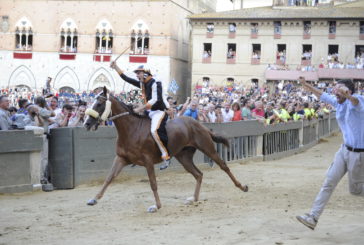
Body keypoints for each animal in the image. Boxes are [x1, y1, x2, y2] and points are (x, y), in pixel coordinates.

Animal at [83, 87, 247, 212]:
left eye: (99, 103)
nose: (86, 124)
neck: (132, 130)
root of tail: (198, 124)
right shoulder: (121, 159)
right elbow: (109, 178)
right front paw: (94, 199)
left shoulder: (148, 161)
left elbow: (153, 184)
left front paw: (156, 206)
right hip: (184, 157)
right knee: (198, 174)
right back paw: (193, 199)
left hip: (207, 148)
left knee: (223, 166)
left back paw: (242, 186)